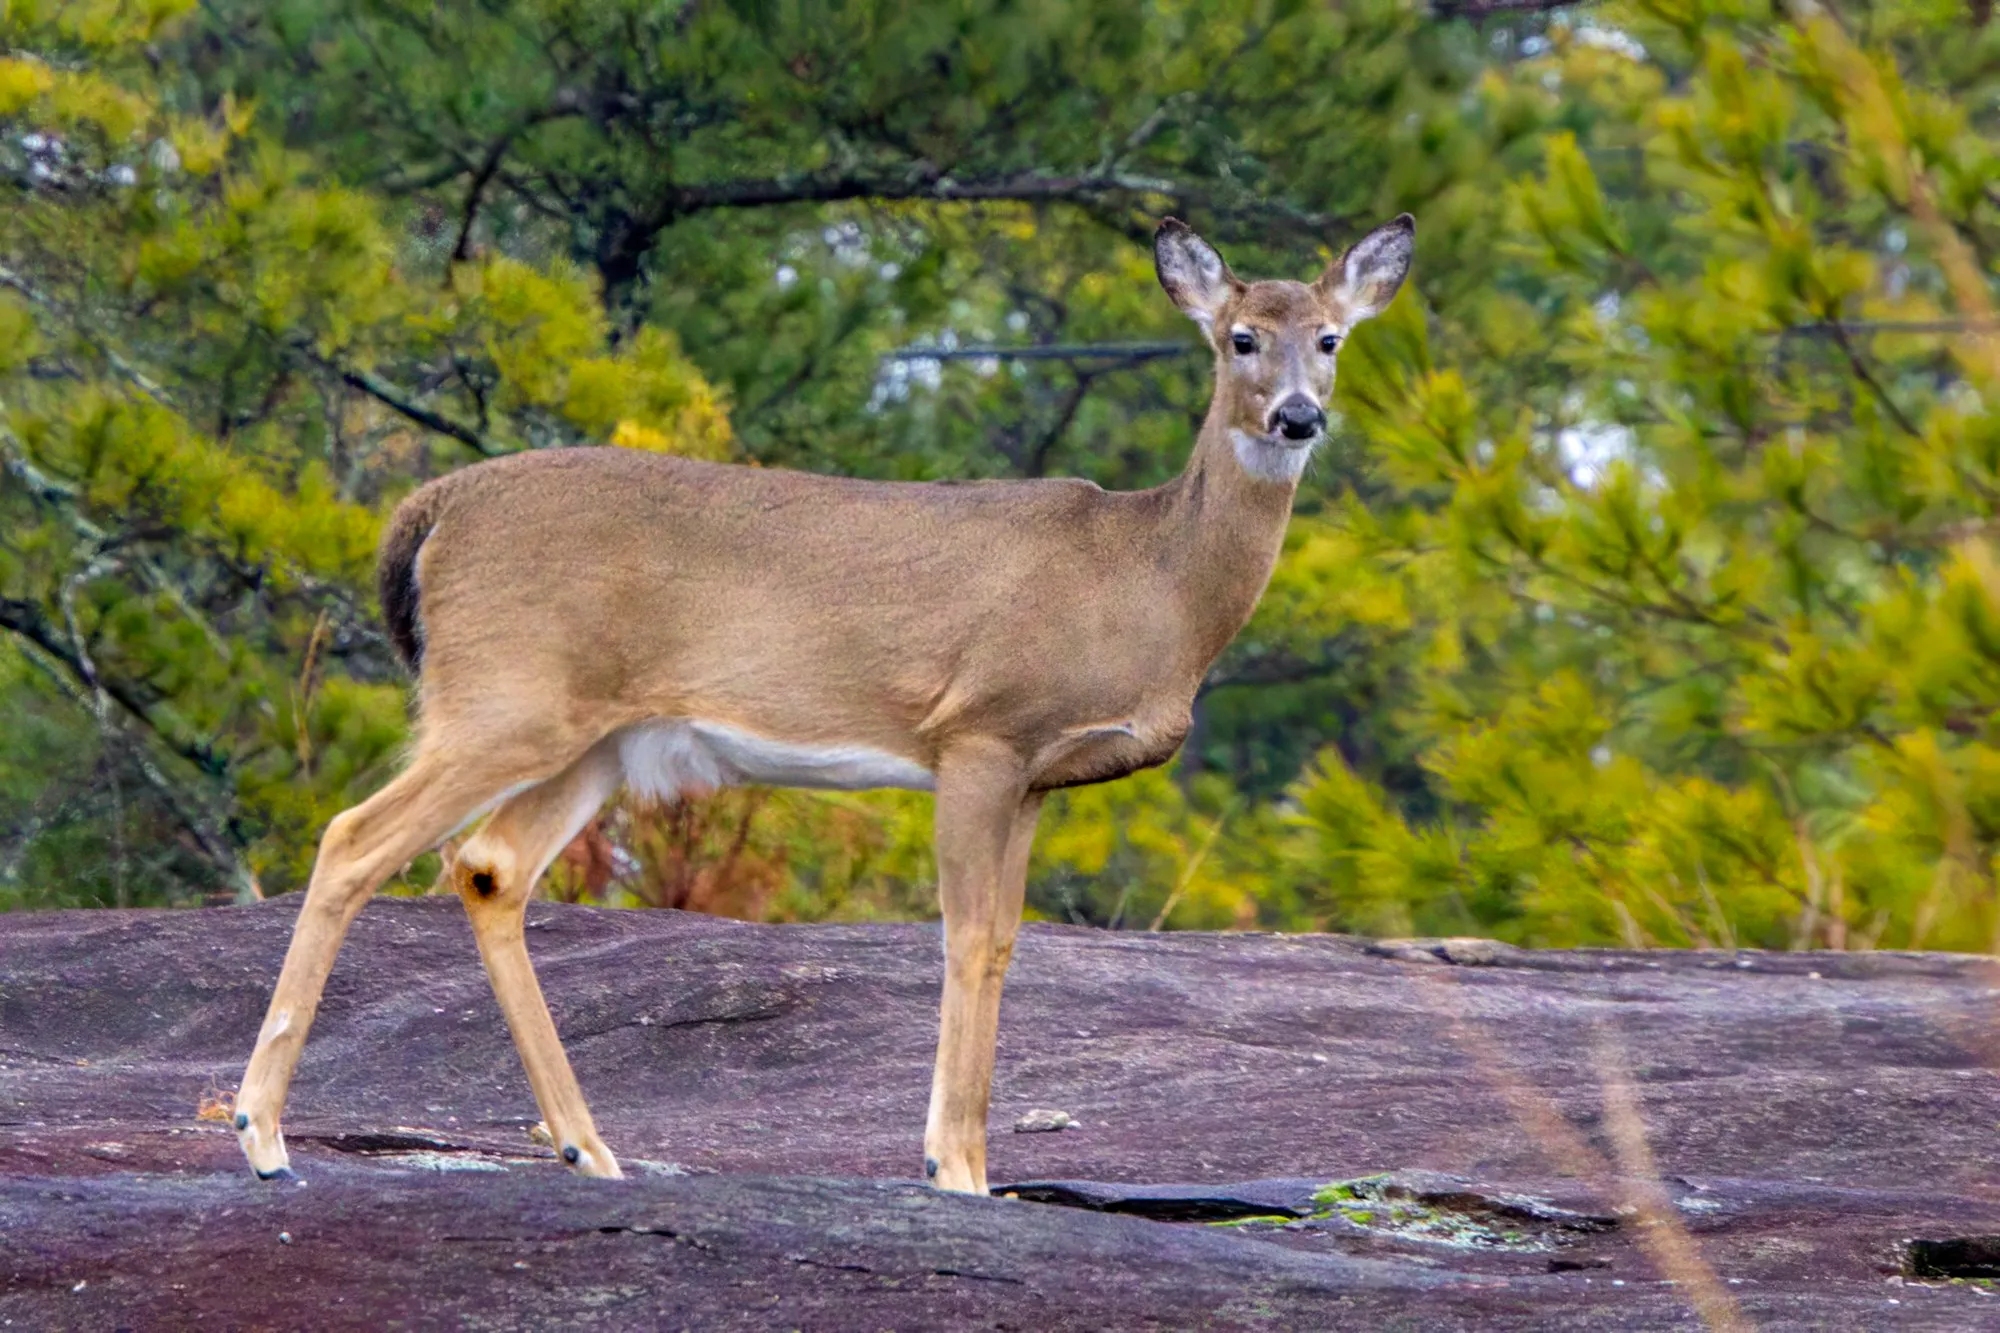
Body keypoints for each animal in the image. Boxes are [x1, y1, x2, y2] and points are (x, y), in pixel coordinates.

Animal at [231, 213, 1414, 1195]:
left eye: (1331, 340)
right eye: (1240, 338)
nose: (1299, 418)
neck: (1144, 580)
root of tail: (435, 505)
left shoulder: (1037, 776)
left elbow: (1001, 944)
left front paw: (972, 1164)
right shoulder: (979, 730)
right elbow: (964, 936)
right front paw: (954, 1169)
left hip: (594, 736)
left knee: (487, 866)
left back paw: (589, 1147)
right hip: (500, 694)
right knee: (353, 836)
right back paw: (262, 1134)